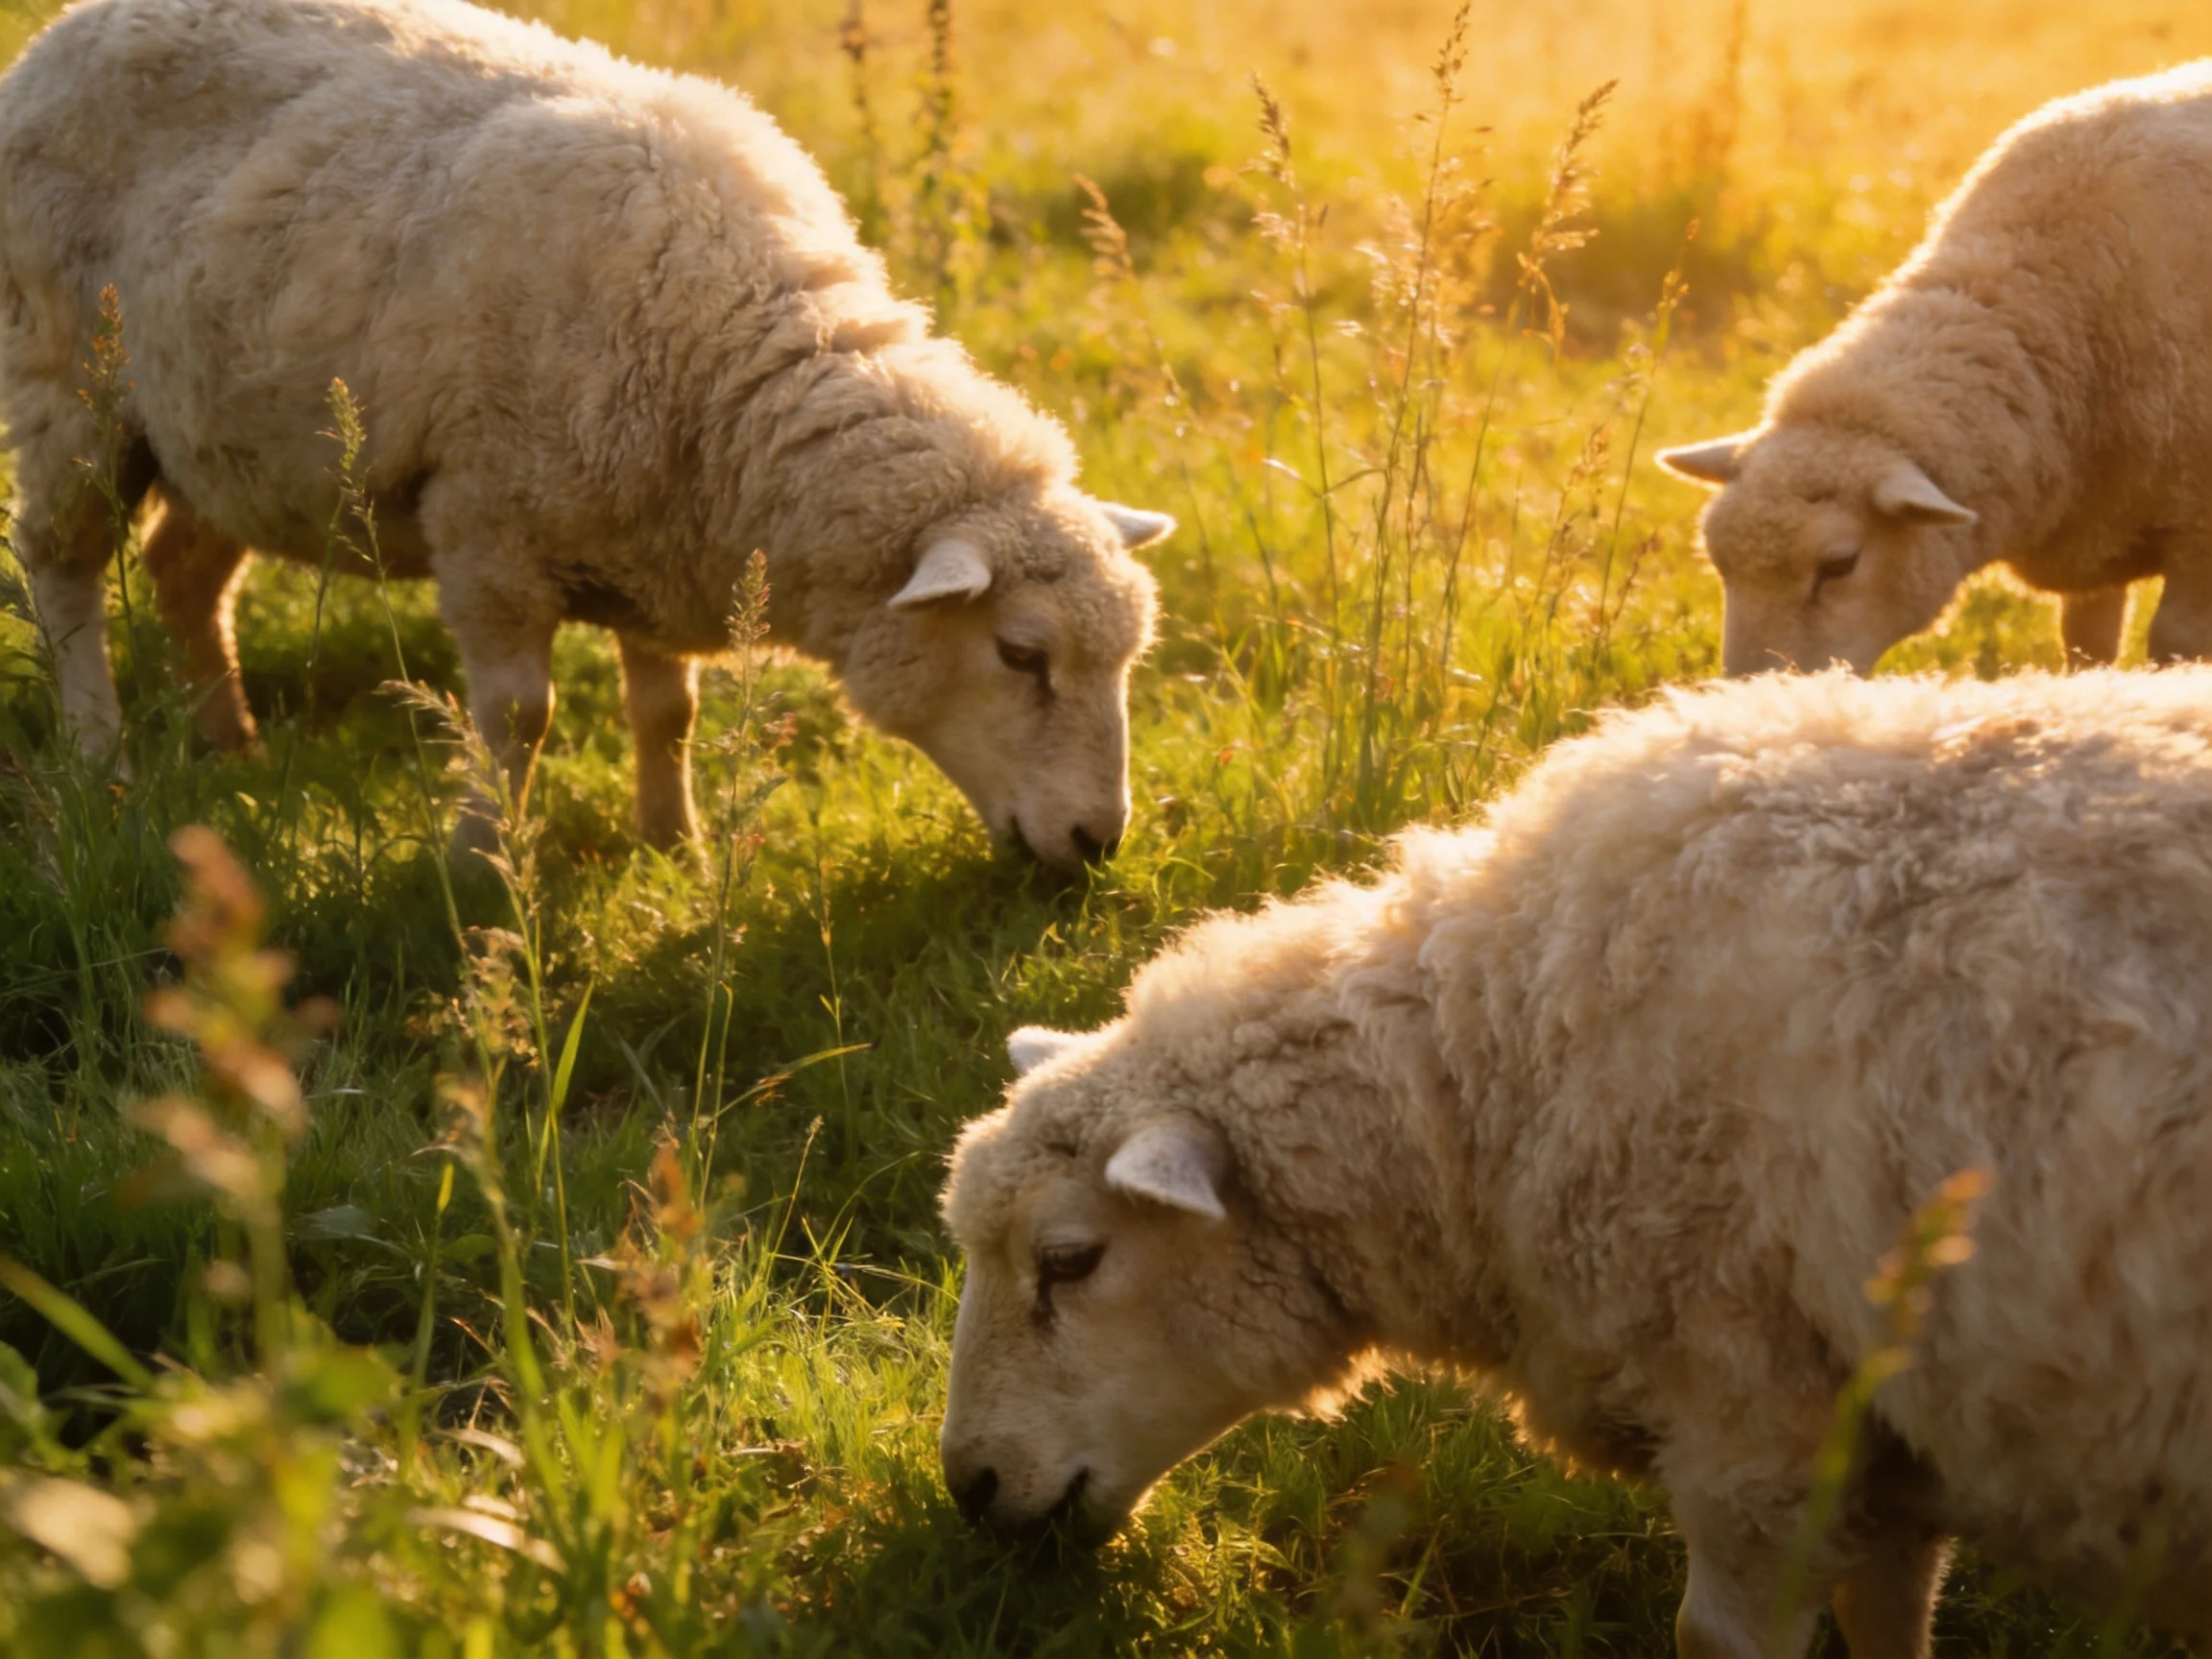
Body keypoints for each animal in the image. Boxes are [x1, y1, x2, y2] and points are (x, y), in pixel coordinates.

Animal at [0, 0, 1172, 867]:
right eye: (1021, 654)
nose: (1099, 842)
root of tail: (67, 29)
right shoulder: (486, 527)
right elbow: (522, 716)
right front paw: (482, 862)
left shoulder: (662, 538)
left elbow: (669, 712)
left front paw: (673, 844)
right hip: (70, 387)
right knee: (63, 569)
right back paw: (101, 754)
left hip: (230, 434)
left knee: (181, 569)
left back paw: (231, 746)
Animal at [940, 666, 2212, 1657]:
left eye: (1069, 1260)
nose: (969, 1489)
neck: (1491, 1058)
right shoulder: (1882, 1433)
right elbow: (1890, 1620)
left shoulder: (1754, 1418)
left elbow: (1724, 1634)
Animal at [1659, 64, 2212, 678]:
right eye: (1718, 559)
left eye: (1839, 564)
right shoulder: (2097, 537)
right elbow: (2085, 648)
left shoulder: (2198, 534)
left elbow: (2176, 642)